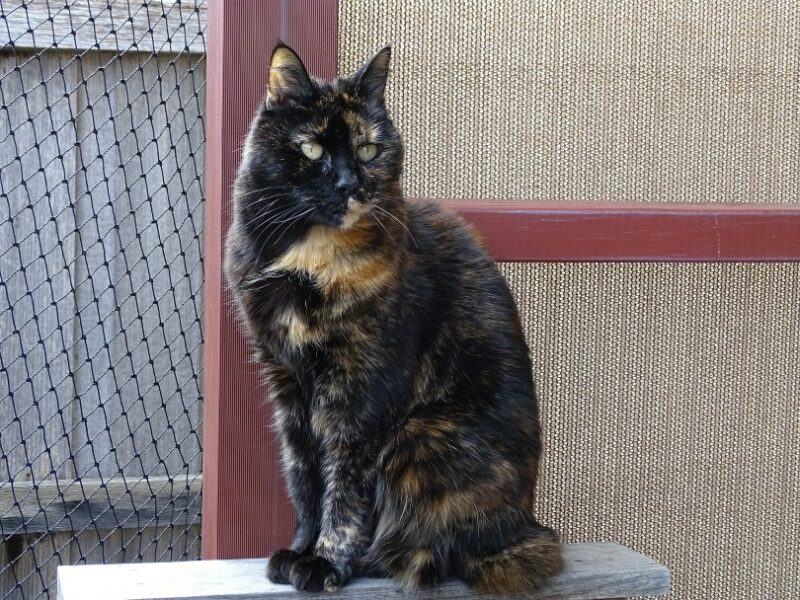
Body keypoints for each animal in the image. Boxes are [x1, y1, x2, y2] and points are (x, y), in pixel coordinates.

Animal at [225, 44, 564, 592]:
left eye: (368, 150)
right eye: (313, 150)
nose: (349, 184)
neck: (308, 261)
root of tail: (525, 527)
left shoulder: (362, 393)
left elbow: (345, 487)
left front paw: (325, 563)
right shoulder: (289, 383)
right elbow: (304, 476)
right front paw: (299, 549)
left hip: (417, 437)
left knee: (428, 551)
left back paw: (370, 560)